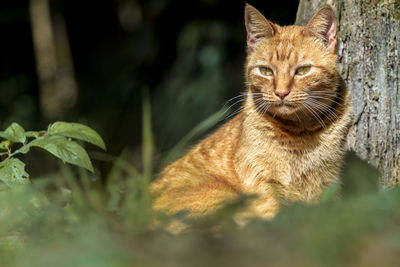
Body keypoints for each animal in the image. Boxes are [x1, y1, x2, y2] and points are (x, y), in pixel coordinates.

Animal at [151, 3, 354, 226]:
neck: (300, 133)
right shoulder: (260, 180)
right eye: (266, 71)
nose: (281, 92)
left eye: (303, 70)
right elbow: (271, 216)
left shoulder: (327, 182)